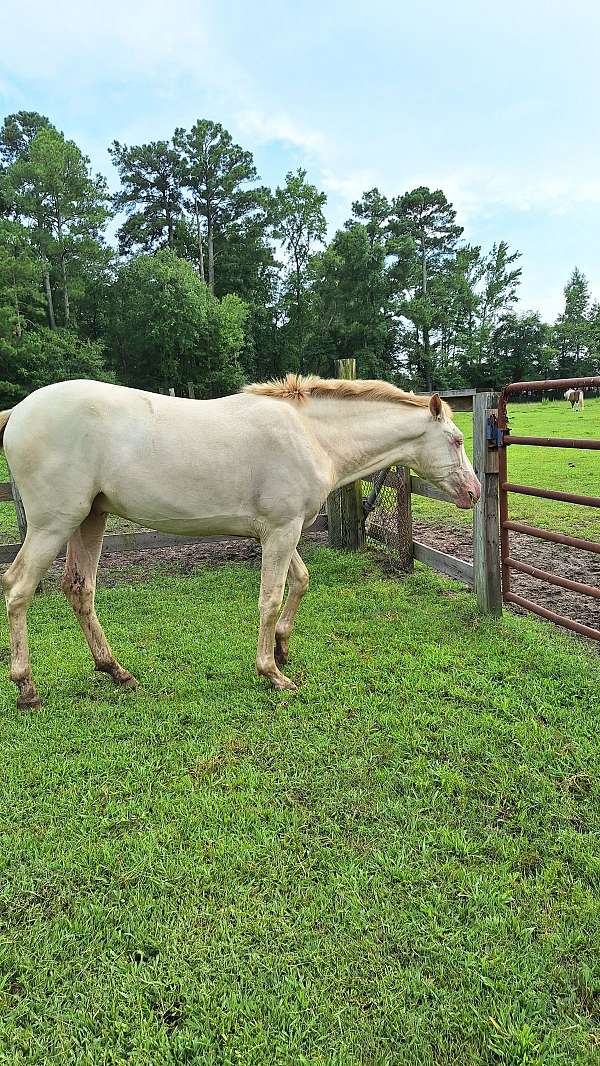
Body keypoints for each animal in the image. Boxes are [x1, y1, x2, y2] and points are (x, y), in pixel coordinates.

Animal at [0, 375, 479, 707]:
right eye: (456, 439)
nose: (474, 492)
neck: (310, 434)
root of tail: (18, 411)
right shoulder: (282, 531)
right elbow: (271, 598)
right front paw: (272, 673)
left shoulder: (282, 532)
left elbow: (300, 582)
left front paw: (283, 647)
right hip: (53, 525)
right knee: (18, 589)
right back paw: (27, 687)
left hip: (90, 520)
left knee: (80, 591)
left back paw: (116, 671)